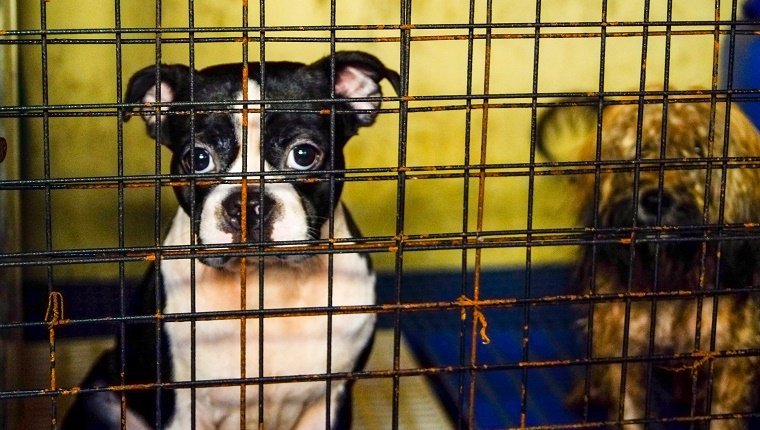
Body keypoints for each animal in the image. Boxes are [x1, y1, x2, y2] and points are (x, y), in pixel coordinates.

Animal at [62, 52, 400, 428]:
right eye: (198, 159)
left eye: (303, 155)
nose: (247, 203)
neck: (263, 283)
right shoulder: (183, 407)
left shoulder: (329, 399)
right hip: (100, 394)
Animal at [536, 95, 760, 428]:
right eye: (640, 148)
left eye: (697, 149)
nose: (655, 201)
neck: (670, 272)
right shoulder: (623, 343)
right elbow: (627, 405)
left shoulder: (729, 354)